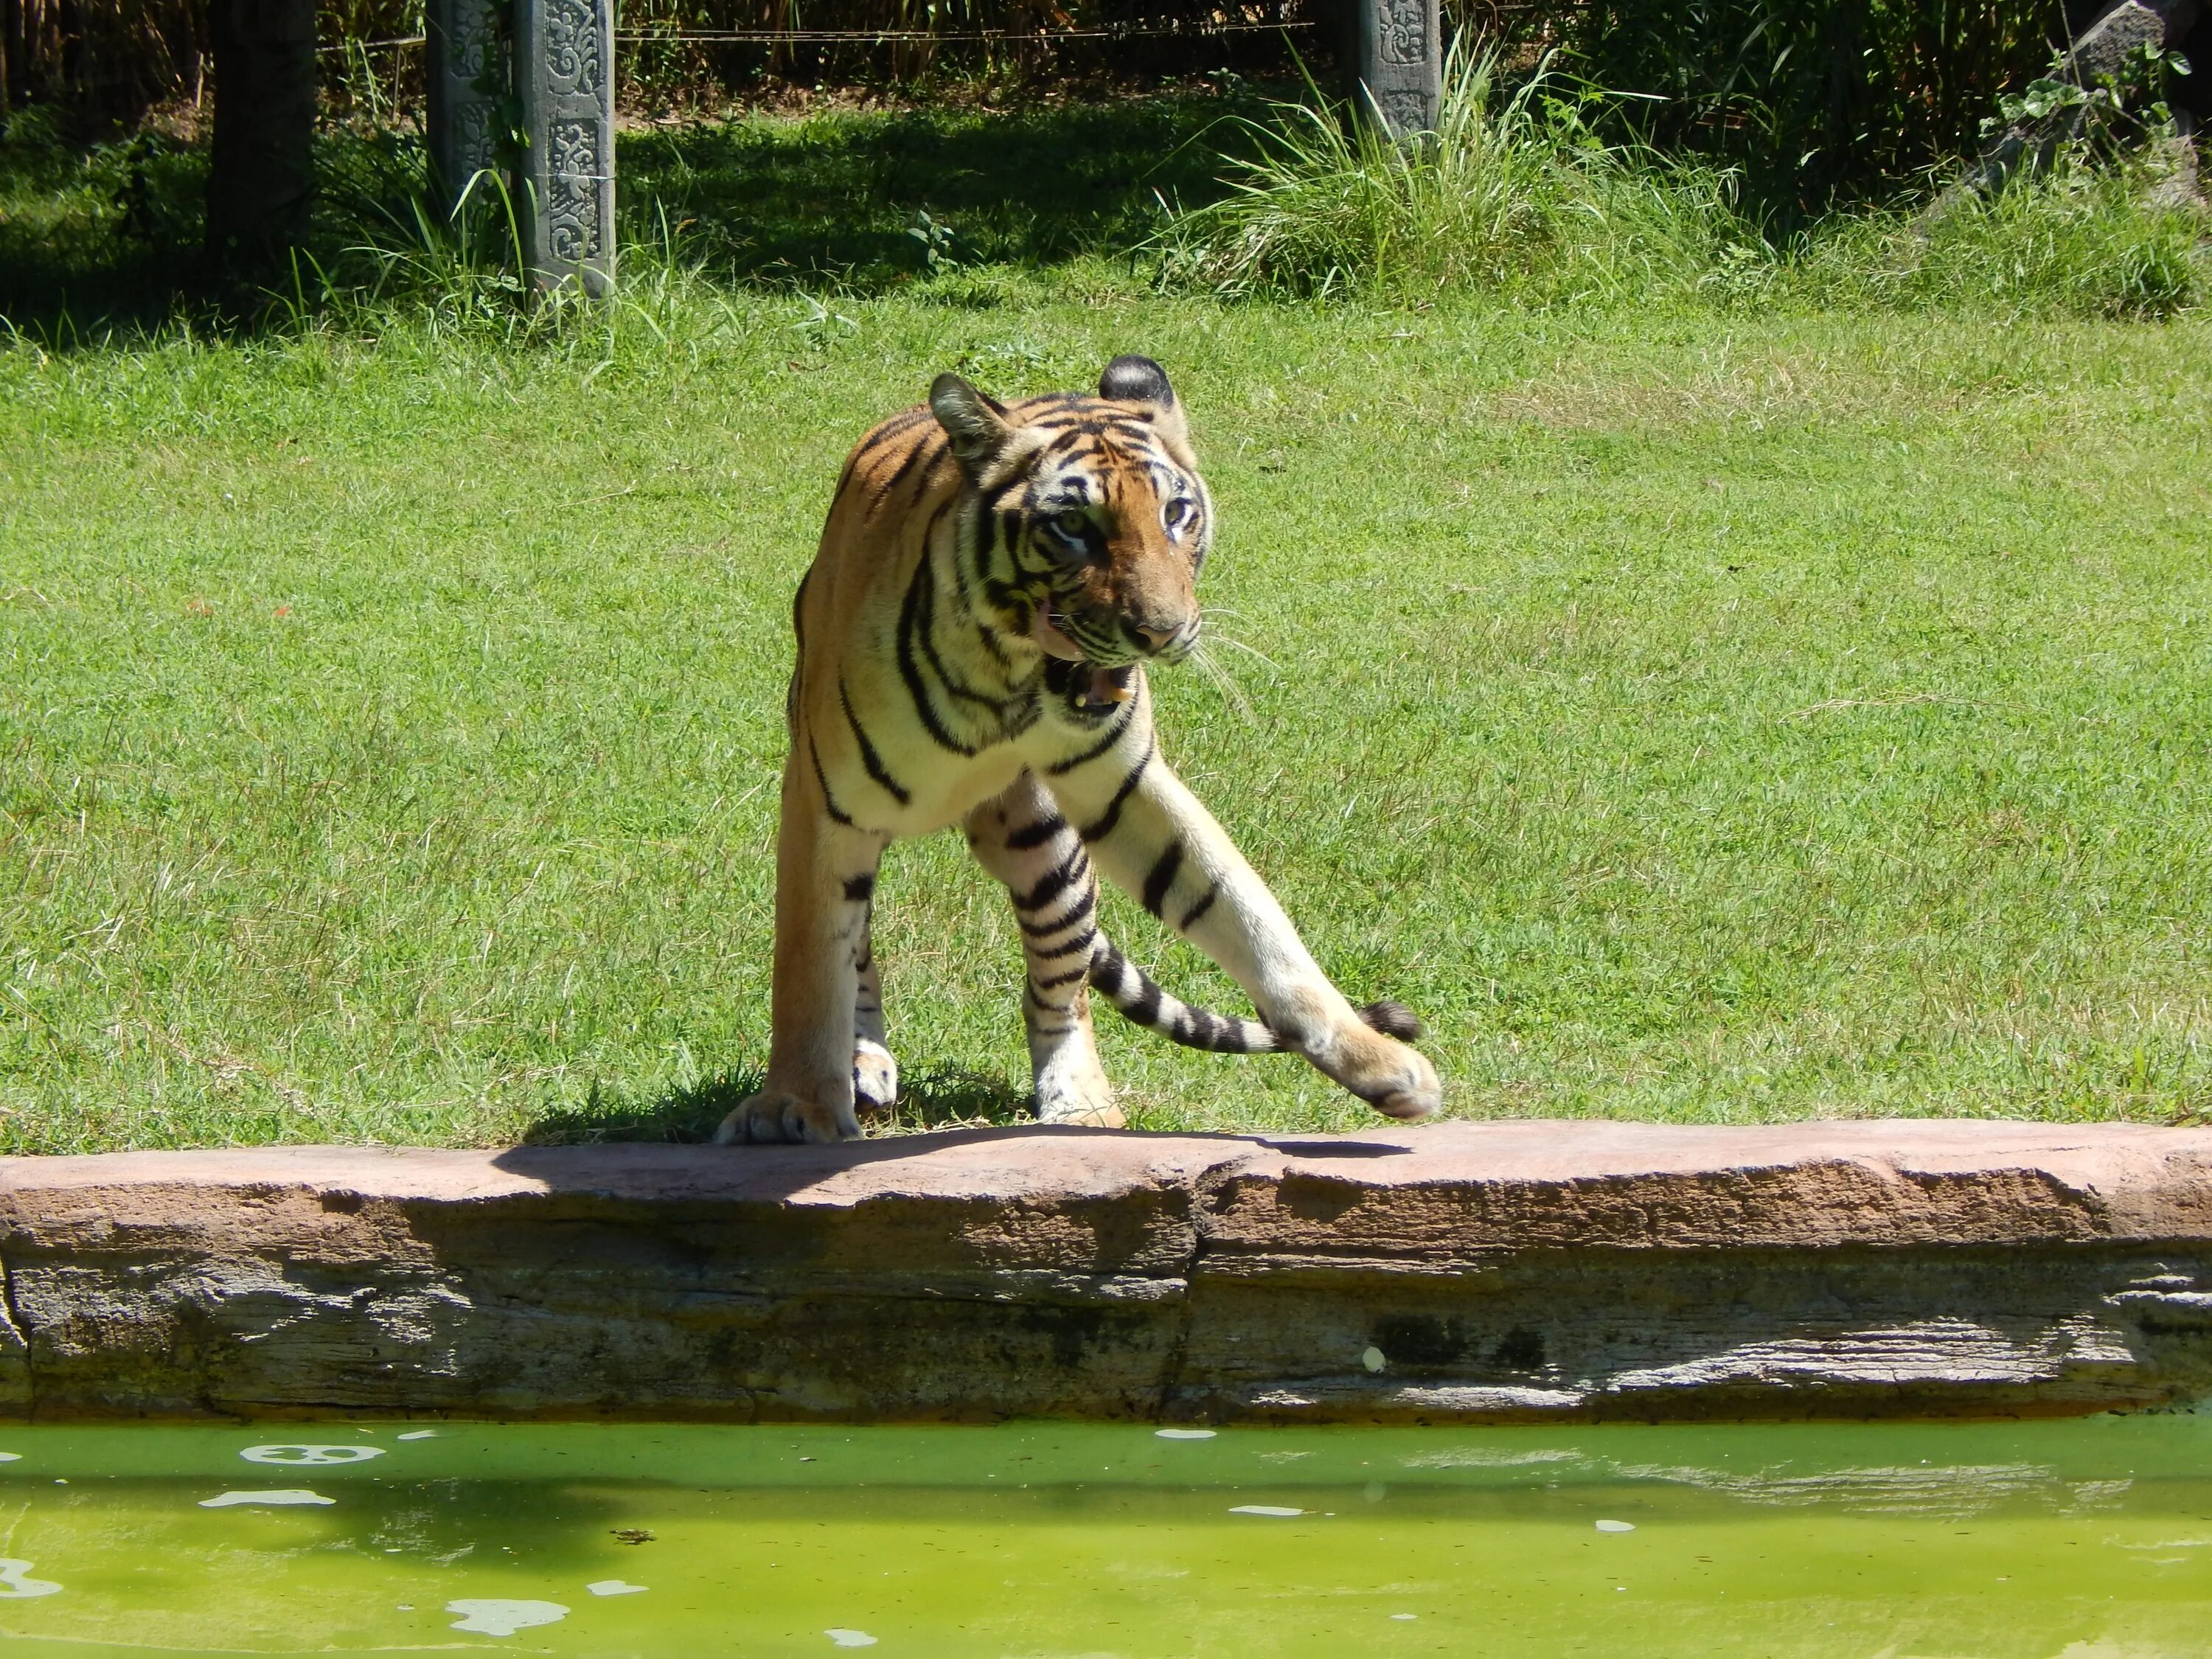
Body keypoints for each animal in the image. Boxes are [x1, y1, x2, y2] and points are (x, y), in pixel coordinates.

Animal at [717, 358, 1442, 1150]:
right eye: (1072, 526)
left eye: (1176, 514)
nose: (1161, 633)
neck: (1005, 678)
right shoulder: (825, 803)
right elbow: (811, 966)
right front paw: (794, 1109)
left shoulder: (1126, 785)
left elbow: (1250, 916)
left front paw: (1382, 1065)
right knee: (861, 950)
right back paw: (866, 1061)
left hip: (1046, 849)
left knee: (1059, 995)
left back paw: (1083, 1105)